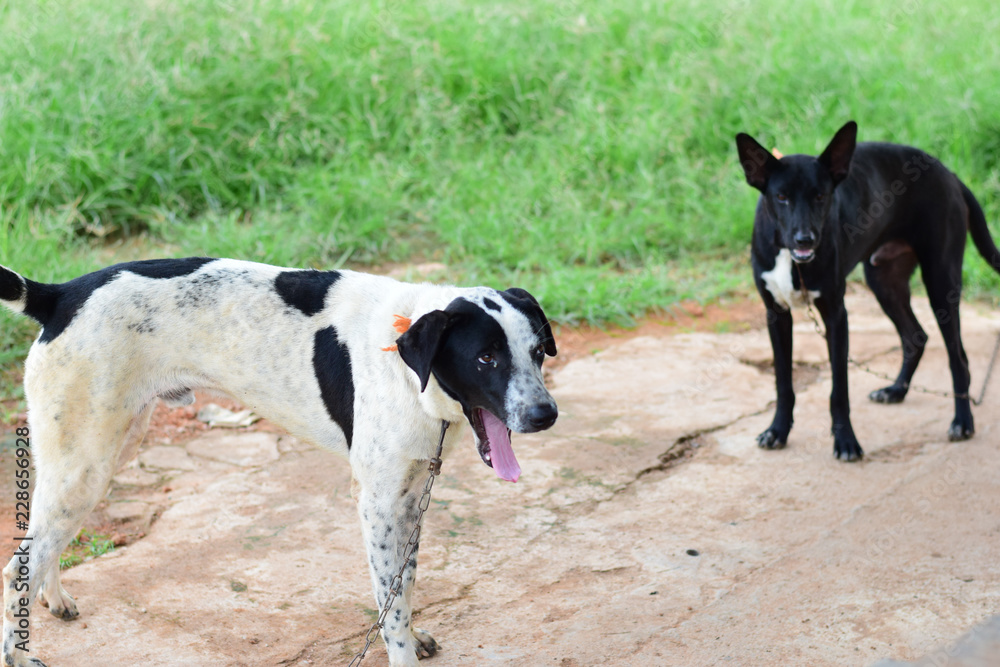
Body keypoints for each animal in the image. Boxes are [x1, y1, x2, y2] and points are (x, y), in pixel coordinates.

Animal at [736, 121, 1000, 460]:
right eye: (781, 196)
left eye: (821, 196)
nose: (805, 239)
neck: (790, 258)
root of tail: (949, 174)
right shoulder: (776, 315)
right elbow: (783, 384)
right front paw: (777, 430)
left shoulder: (837, 316)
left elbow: (839, 390)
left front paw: (846, 441)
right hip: (883, 281)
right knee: (915, 336)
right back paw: (896, 390)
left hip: (941, 281)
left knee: (959, 359)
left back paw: (963, 422)